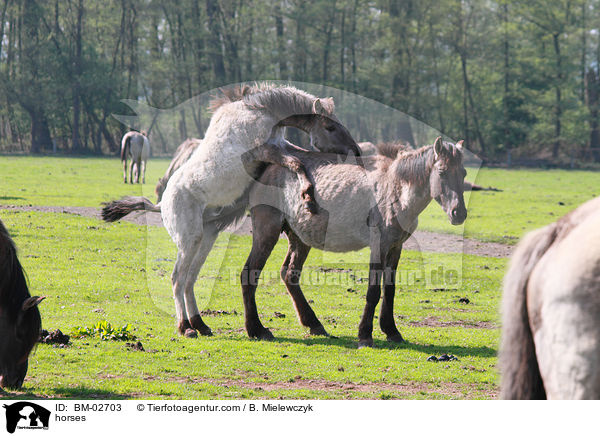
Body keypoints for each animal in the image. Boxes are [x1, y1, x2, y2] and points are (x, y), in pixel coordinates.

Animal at [103, 85, 360, 338]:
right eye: (330, 127)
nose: (355, 150)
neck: (259, 110)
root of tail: (160, 205)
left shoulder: (280, 145)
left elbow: (297, 157)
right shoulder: (266, 150)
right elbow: (297, 163)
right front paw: (308, 196)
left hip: (206, 239)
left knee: (189, 279)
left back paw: (200, 324)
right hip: (189, 241)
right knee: (178, 279)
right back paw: (185, 327)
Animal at [241, 136, 466, 348]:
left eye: (463, 173)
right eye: (442, 172)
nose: (459, 213)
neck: (395, 189)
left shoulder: (395, 247)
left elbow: (390, 290)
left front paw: (392, 331)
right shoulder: (379, 246)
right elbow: (373, 291)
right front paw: (365, 335)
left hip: (300, 238)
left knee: (290, 274)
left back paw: (314, 324)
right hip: (267, 232)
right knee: (249, 274)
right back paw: (257, 329)